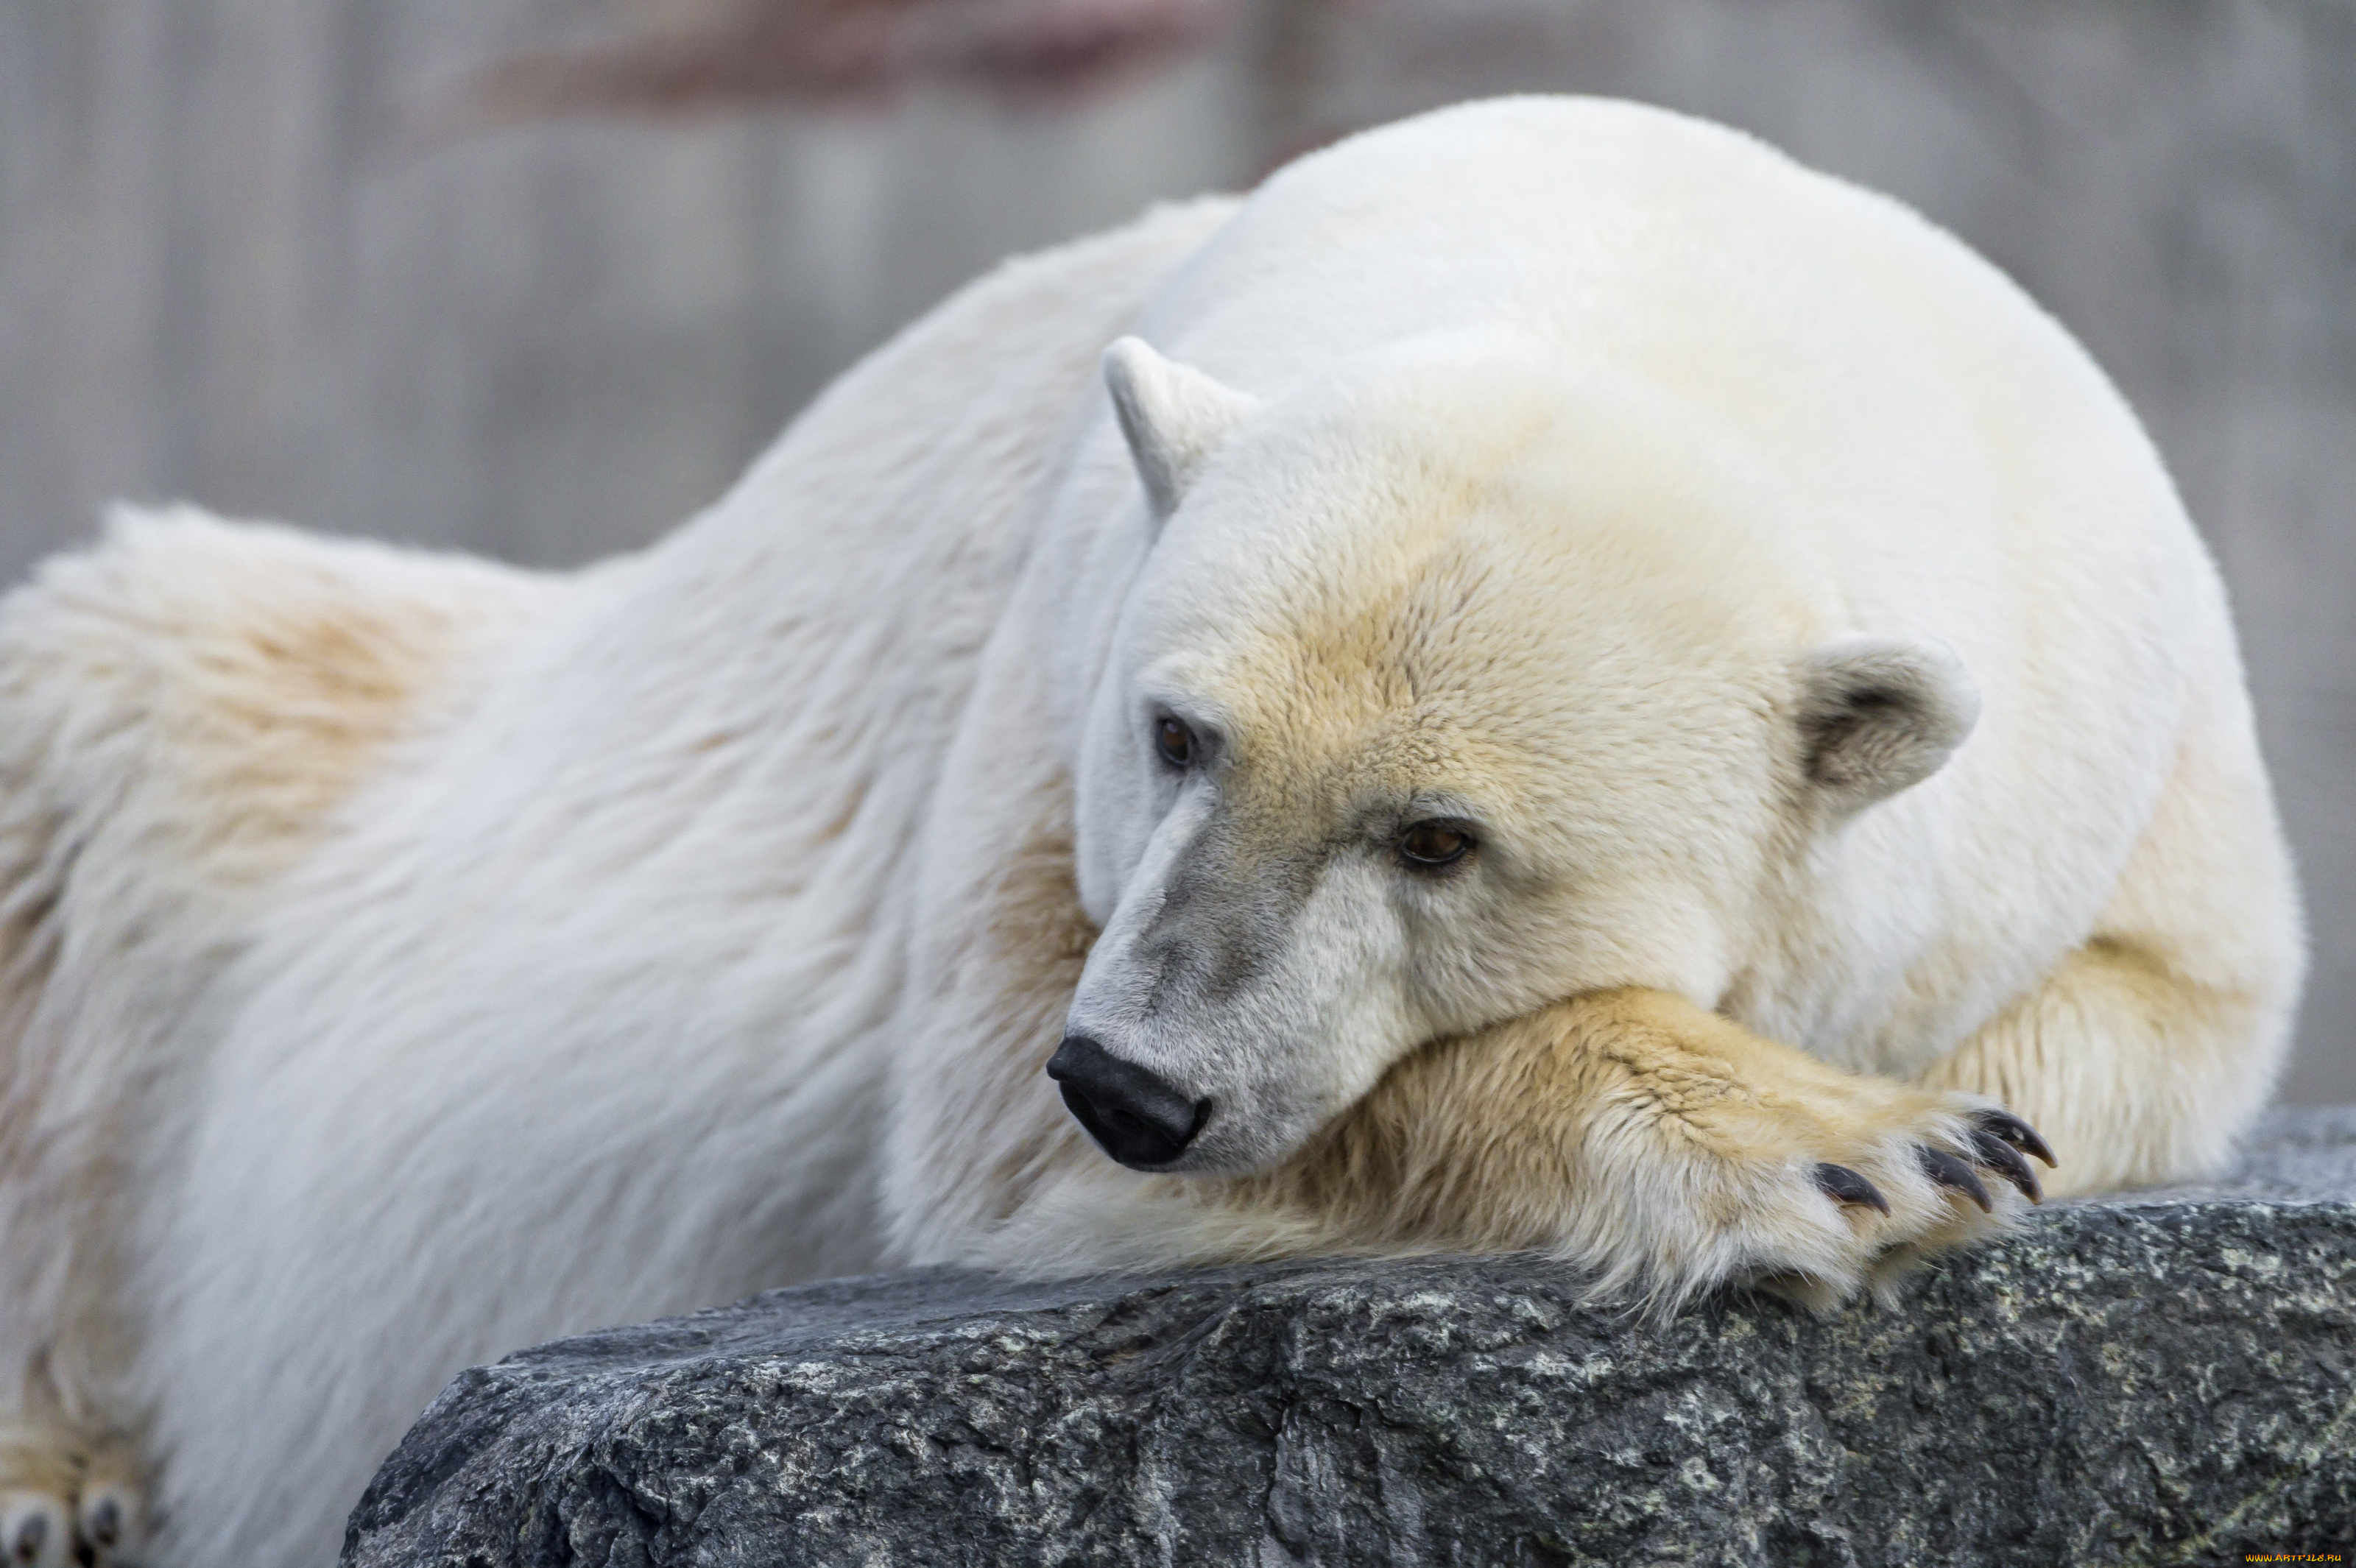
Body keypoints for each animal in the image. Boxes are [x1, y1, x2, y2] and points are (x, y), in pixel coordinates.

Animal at [0, 97, 2290, 1563]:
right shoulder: (1041, 677)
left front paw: (1947, 1120)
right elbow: (991, 1109)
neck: (1671, 266)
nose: (1138, 1083)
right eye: (1178, 731)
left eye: (1438, 838)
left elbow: (2154, 1006)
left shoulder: (2130, 734)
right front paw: (1837, 1145)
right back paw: (57, 1471)